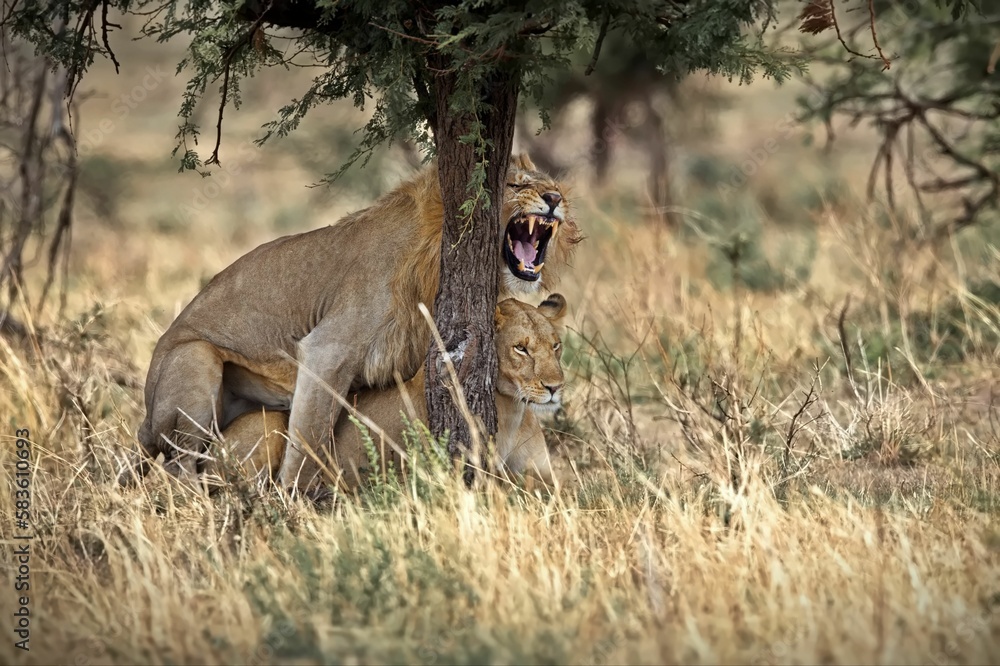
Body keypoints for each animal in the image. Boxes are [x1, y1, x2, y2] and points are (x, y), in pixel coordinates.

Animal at [207, 294, 568, 490]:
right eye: (521, 348)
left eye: (556, 346)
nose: (555, 387)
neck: (513, 410)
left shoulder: (545, 473)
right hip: (271, 424)